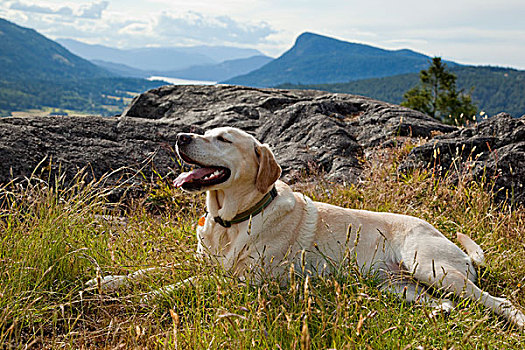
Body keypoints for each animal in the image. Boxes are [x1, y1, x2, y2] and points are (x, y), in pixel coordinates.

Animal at [88, 127, 520, 330]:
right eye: (206, 131)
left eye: (223, 139)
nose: (180, 136)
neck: (231, 220)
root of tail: (451, 242)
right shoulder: (204, 261)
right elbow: (153, 270)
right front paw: (104, 281)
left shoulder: (238, 280)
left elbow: (176, 286)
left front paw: (137, 298)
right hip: (396, 284)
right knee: (442, 304)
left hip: (431, 265)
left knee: (498, 302)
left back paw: (518, 320)